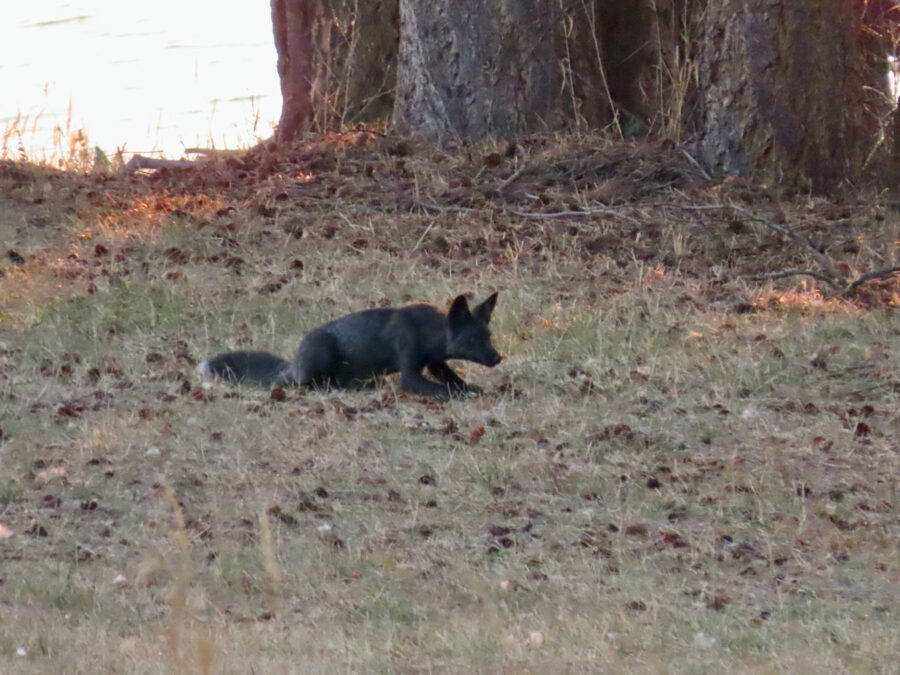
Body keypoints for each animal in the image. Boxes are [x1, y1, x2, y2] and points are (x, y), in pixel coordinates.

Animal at [197, 293, 502, 399]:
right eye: (472, 340)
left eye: (488, 337)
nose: (498, 358)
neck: (428, 332)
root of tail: (293, 363)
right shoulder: (409, 374)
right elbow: (445, 391)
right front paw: (466, 395)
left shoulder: (436, 363)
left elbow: (455, 381)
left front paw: (476, 389)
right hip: (318, 357)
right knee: (295, 384)